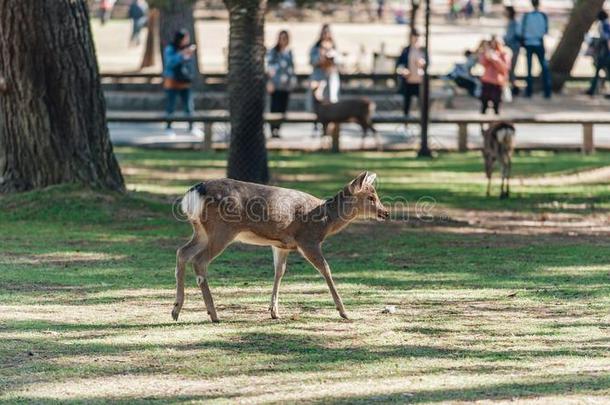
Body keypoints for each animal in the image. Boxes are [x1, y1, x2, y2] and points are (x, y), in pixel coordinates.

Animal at [173, 170, 388, 322]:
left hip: (201, 231)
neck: (325, 221)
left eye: (376, 194)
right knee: (199, 260)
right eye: (370, 197)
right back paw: (214, 314)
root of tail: (193, 193)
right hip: (222, 230)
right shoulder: (308, 240)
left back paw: (176, 309)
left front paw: (274, 312)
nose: (385, 212)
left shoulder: (281, 245)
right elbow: (326, 269)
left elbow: (279, 272)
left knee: (182, 252)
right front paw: (344, 311)